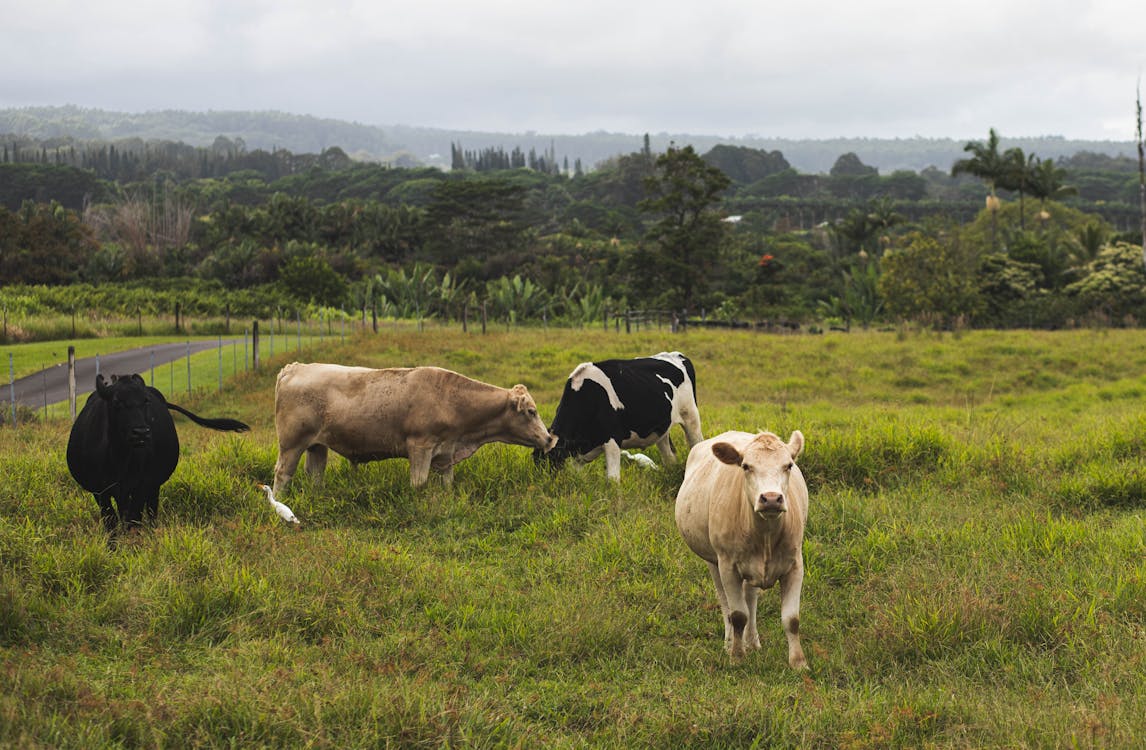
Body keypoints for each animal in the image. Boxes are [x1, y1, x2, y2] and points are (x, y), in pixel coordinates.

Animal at [66, 373, 248, 541]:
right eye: (117, 402)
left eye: (145, 401)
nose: (141, 432)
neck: (119, 458)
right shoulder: (100, 491)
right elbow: (111, 523)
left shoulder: (142, 485)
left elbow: (134, 520)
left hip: (154, 487)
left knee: (151, 511)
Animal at [269, 362, 554, 493]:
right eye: (531, 411)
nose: (550, 439)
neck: (450, 400)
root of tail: (295, 368)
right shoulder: (420, 447)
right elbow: (419, 483)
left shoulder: (446, 453)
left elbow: (447, 483)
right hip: (291, 444)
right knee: (283, 473)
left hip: (317, 446)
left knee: (314, 474)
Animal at [531, 353, 701, 481]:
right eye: (538, 463)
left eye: (553, 461)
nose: (547, 484)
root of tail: (677, 355)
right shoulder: (579, 453)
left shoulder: (612, 439)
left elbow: (612, 480)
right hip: (662, 430)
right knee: (670, 457)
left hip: (690, 415)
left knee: (696, 443)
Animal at [673, 428, 811, 669]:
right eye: (746, 466)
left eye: (789, 465)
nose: (771, 499)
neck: (765, 535)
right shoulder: (728, 566)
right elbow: (738, 615)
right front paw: (737, 656)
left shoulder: (795, 565)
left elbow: (791, 619)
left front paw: (798, 662)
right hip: (713, 561)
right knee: (725, 603)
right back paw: (730, 642)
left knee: (750, 598)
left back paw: (752, 641)